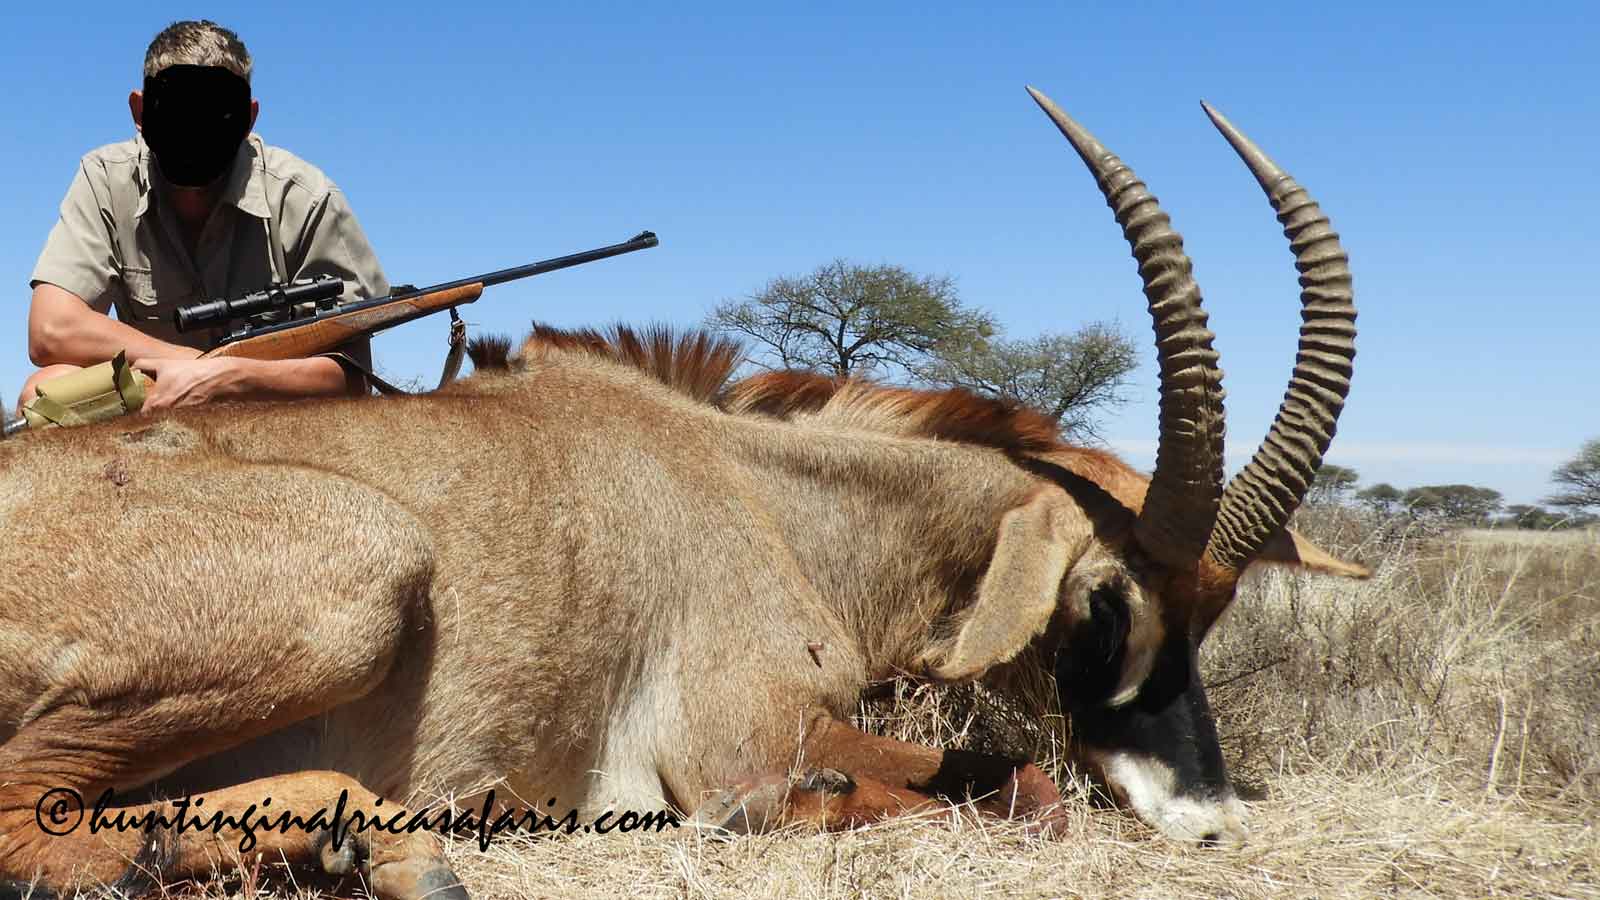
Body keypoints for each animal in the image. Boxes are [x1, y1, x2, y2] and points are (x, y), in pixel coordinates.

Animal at [0, 89, 1366, 899]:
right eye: (1103, 603)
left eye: (1215, 612)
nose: (1206, 822)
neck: (764, 493)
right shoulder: (742, 739)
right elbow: (1023, 791)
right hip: (367, 569)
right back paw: (378, 846)